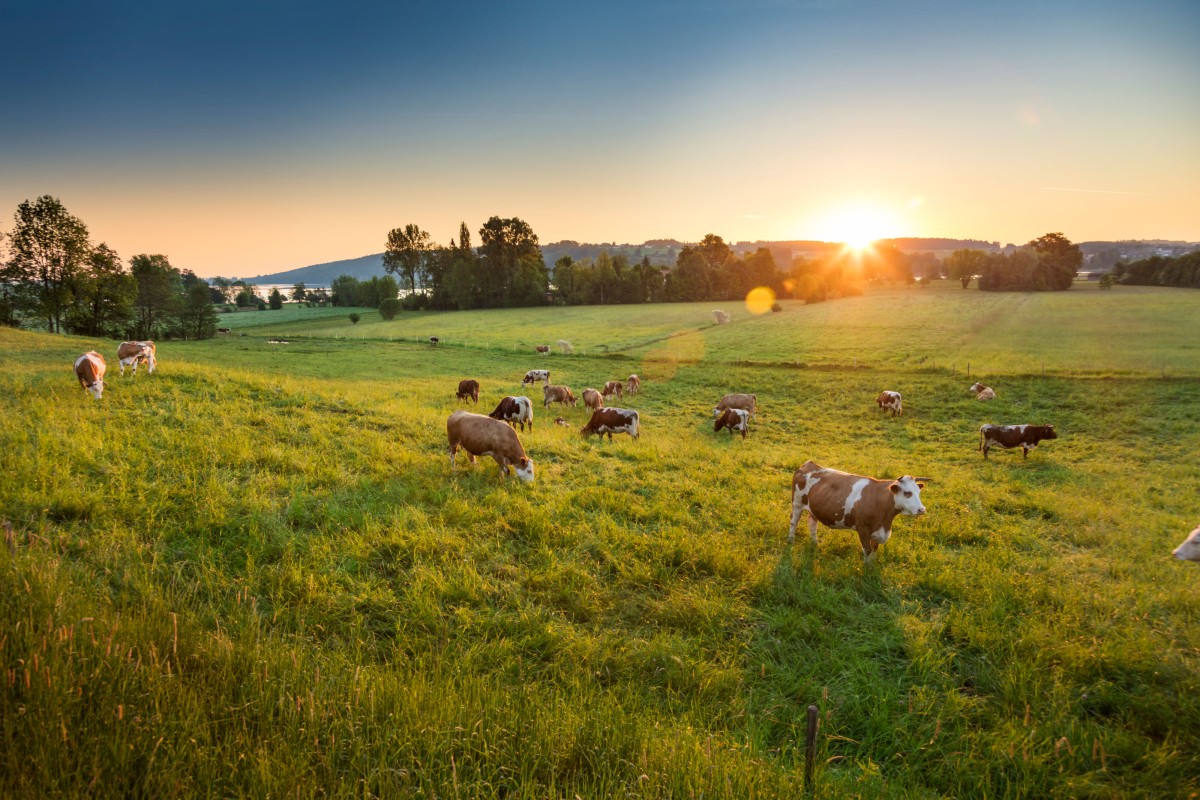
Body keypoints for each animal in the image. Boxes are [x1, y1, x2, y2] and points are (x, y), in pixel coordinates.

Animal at [787, 460, 926, 566]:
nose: (922, 509)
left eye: (918, 492)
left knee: (812, 523)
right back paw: (790, 541)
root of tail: (809, 464)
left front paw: (872, 565)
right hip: (797, 503)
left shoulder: (878, 530)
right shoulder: (863, 528)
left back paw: (814, 542)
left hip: (814, 509)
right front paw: (866, 568)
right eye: (907, 493)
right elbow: (867, 550)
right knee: (794, 521)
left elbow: (874, 548)